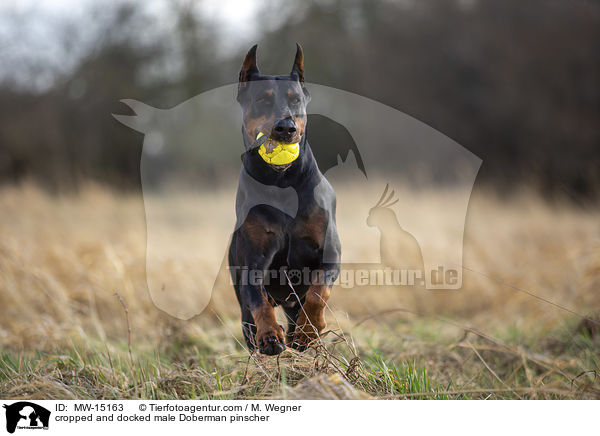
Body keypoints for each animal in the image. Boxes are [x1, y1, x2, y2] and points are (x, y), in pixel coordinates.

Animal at [230, 44, 340, 356]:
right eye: (262, 100)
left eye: (295, 99)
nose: (285, 127)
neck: (281, 182)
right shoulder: (254, 259)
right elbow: (257, 297)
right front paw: (270, 335)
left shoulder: (330, 253)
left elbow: (318, 290)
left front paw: (308, 331)